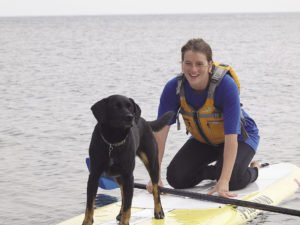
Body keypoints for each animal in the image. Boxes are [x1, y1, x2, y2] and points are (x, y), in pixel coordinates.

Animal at [82, 94, 173, 225]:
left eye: (130, 107)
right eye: (116, 106)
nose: (130, 117)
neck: (113, 141)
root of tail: (145, 121)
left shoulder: (129, 176)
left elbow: (128, 206)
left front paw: (124, 221)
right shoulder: (94, 175)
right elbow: (89, 205)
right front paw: (87, 221)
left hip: (152, 163)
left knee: (156, 189)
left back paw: (158, 211)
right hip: (119, 175)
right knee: (122, 193)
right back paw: (120, 214)